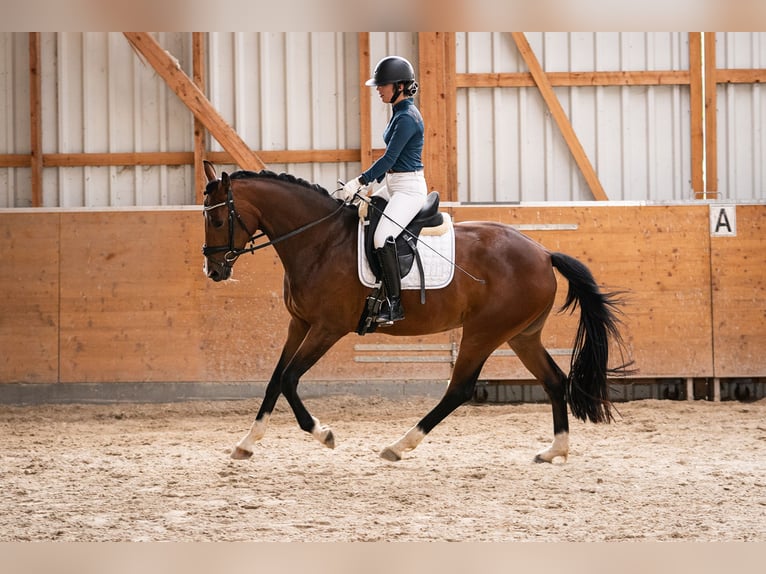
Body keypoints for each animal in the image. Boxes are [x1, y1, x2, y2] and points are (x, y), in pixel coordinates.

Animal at [201, 161, 632, 464]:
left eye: (219, 219)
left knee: (459, 389)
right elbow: (275, 380)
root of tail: (543, 253)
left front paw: (323, 433)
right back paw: (555, 450)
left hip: (484, 332)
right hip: (521, 335)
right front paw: (246, 443)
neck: (319, 240)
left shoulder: (327, 328)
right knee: (554, 381)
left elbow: (290, 379)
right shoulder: (300, 322)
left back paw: (399, 445)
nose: (214, 271)